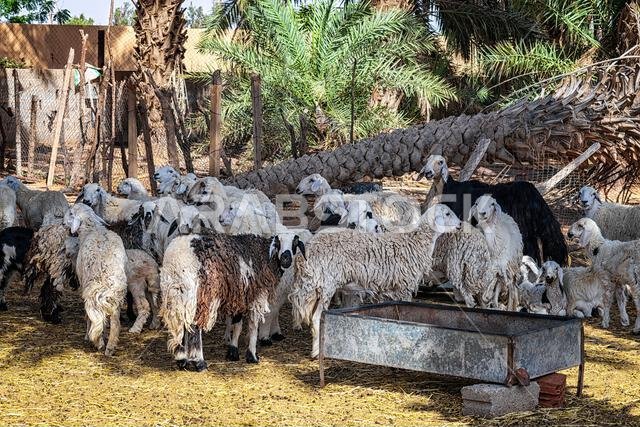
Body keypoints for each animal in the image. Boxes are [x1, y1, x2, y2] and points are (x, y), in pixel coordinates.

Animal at [63, 203, 128, 356]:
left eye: (71, 213)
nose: (62, 223)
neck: (91, 229)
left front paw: (87, 336)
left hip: (91, 288)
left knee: (94, 315)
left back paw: (98, 342)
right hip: (115, 293)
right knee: (115, 322)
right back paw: (110, 347)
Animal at [160, 233, 284, 371]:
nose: (286, 261)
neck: (263, 253)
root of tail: (176, 260)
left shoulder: (239, 298)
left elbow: (237, 326)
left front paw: (233, 352)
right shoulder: (256, 296)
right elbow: (253, 326)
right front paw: (252, 356)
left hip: (176, 296)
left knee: (182, 323)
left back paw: (182, 359)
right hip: (200, 296)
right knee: (195, 326)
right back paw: (199, 362)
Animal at [289, 204, 462, 358]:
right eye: (447, 214)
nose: (460, 224)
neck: (416, 242)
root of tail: (305, 252)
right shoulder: (404, 286)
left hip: (315, 288)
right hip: (326, 285)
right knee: (316, 318)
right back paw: (317, 352)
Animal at [417, 155, 567, 266]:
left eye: (440, 162)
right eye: (427, 160)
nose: (428, 173)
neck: (450, 188)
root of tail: (534, 194)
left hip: (523, 227)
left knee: (530, 249)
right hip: (529, 229)